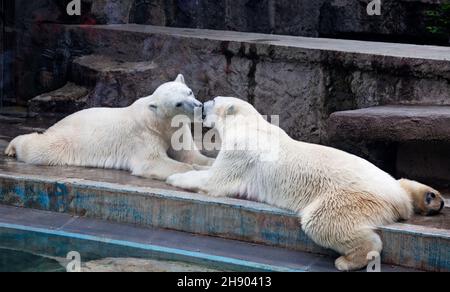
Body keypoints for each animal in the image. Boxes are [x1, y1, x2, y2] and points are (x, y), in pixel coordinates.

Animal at [4, 74, 213, 180]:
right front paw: (196, 171)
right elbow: (152, 162)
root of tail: (58, 124)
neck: (159, 122)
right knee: (39, 149)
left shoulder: (177, 131)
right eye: (178, 103)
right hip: (67, 140)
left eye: (189, 91)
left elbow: (190, 154)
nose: (199, 107)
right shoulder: (144, 135)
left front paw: (208, 164)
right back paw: (11, 147)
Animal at [167, 96, 444, 272]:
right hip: (387, 181)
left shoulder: (241, 153)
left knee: (322, 221)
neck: (250, 125)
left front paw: (174, 177)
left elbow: (216, 180)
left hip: (348, 197)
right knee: (402, 182)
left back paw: (348, 260)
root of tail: (398, 200)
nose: (203, 102)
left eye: (215, 99)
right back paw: (431, 199)